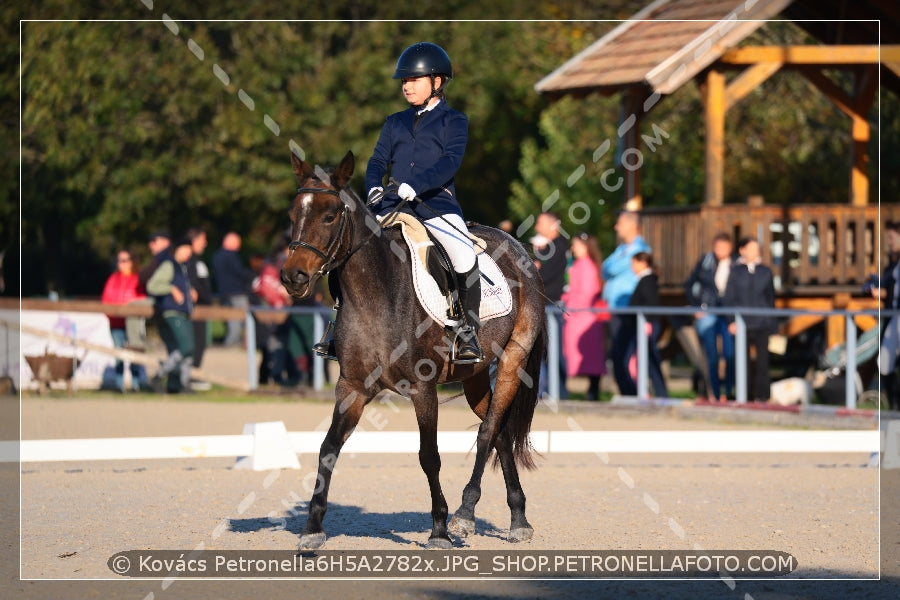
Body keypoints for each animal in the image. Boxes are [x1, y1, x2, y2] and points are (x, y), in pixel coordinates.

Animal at [282, 150, 548, 548]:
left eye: (329, 215)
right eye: (293, 214)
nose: (292, 277)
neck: (375, 295)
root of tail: (519, 249)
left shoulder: (423, 390)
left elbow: (429, 456)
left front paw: (439, 528)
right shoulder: (352, 388)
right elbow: (328, 448)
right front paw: (312, 530)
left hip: (513, 359)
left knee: (487, 430)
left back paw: (464, 515)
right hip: (473, 375)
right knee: (498, 429)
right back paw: (518, 518)